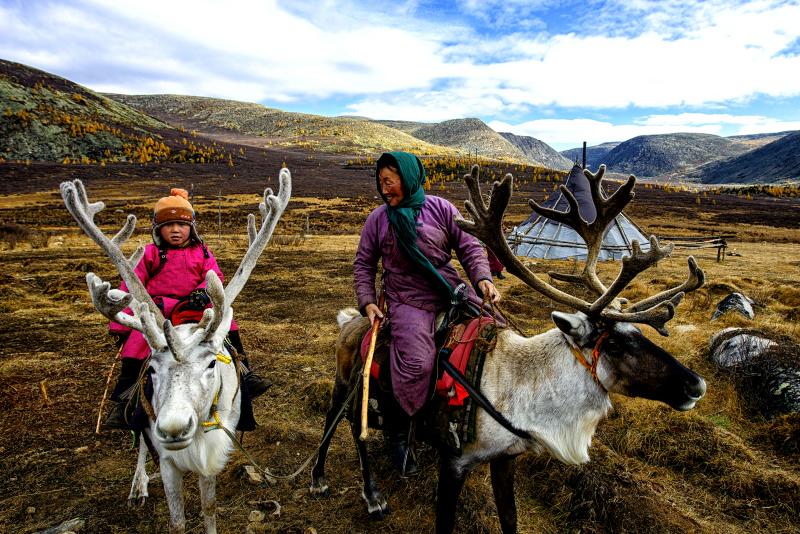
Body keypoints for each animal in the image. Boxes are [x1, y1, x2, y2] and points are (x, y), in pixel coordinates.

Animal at [60, 169, 291, 534]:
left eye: (211, 364)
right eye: (153, 368)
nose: (173, 428)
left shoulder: (214, 447)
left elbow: (209, 508)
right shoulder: (167, 458)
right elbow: (178, 520)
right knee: (140, 441)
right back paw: (138, 486)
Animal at [309, 164, 707, 534]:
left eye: (641, 334)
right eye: (616, 345)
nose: (696, 384)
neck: (519, 387)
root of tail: (352, 321)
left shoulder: (506, 459)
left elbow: (510, 520)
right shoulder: (454, 462)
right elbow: (445, 523)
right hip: (346, 384)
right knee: (343, 423)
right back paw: (346, 487)